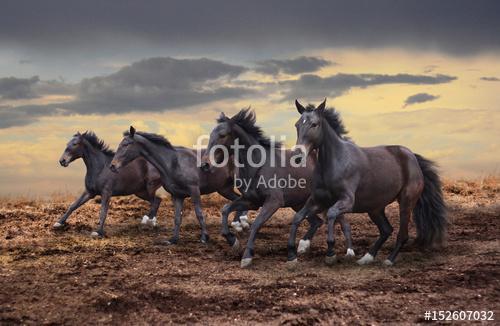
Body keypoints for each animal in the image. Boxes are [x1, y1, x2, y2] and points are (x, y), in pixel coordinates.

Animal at [111, 126, 248, 244]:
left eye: (126, 145)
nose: (112, 165)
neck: (173, 163)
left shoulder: (194, 190)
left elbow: (199, 213)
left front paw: (204, 237)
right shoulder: (177, 195)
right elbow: (177, 218)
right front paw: (173, 239)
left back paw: (240, 224)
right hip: (224, 189)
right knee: (237, 200)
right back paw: (238, 225)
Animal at [201, 109, 354, 268]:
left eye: (222, 135)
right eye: (211, 134)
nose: (205, 164)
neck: (258, 165)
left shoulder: (273, 201)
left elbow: (256, 224)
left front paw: (247, 256)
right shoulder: (251, 201)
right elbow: (225, 210)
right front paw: (234, 242)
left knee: (344, 224)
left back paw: (348, 253)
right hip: (299, 204)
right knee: (317, 222)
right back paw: (303, 247)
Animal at [288, 100, 448, 268]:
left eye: (314, 124)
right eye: (297, 124)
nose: (297, 156)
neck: (335, 163)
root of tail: (412, 157)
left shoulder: (346, 201)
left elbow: (331, 214)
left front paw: (330, 253)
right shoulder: (317, 201)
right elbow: (298, 217)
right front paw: (293, 254)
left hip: (406, 202)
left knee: (402, 234)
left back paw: (389, 260)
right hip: (375, 209)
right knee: (386, 230)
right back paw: (366, 258)